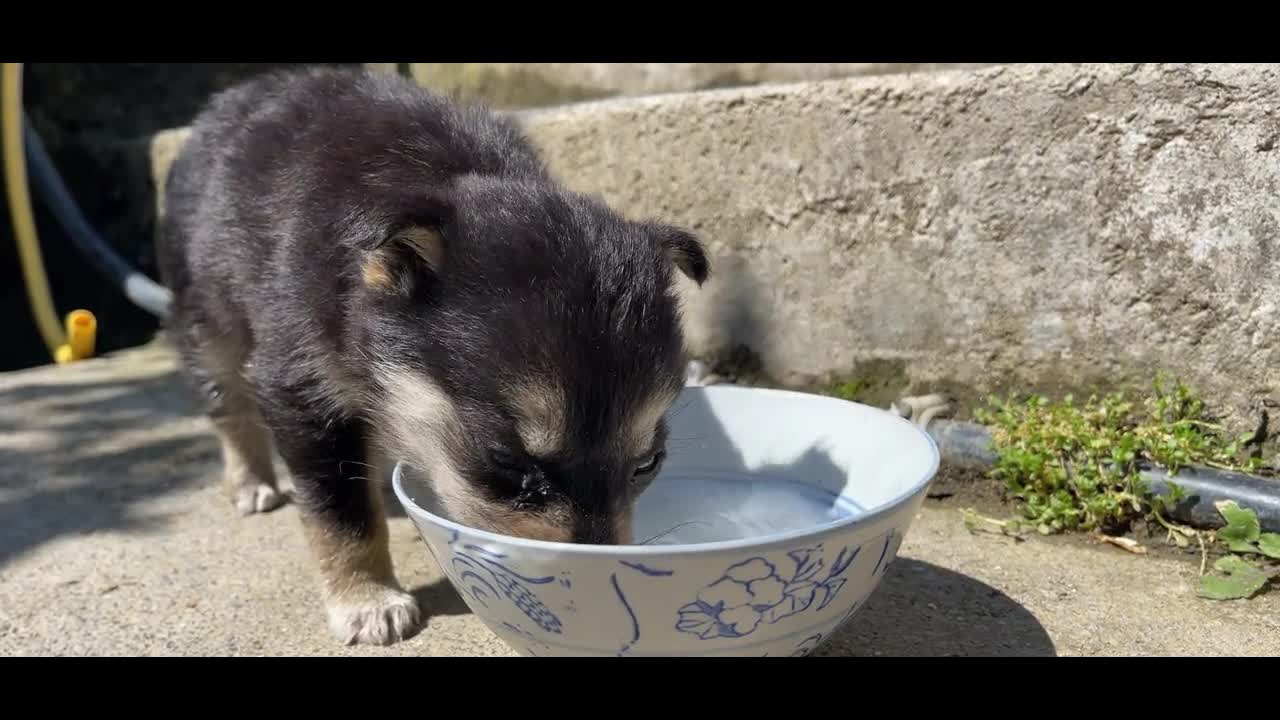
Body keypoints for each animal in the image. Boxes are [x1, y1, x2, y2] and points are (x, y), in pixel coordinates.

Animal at [157, 64, 711, 640]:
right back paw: (250, 482)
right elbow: (341, 512)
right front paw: (367, 600)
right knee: (228, 404)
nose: (589, 589)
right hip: (205, 315)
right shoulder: (301, 386)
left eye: (647, 464)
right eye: (506, 463)